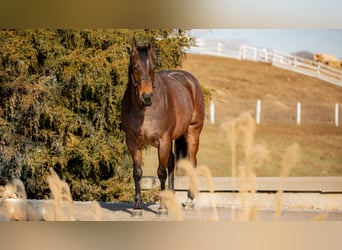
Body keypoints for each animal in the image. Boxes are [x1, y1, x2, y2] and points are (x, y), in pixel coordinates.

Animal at [121, 37, 204, 217]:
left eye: (153, 67)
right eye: (136, 67)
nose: (146, 97)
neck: (144, 111)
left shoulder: (163, 140)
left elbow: (161, 172)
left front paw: (162, 208)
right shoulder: (132, 142)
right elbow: (137, 172)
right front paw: (137, 207)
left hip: (192, 133)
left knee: (191, 163)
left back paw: (189, 201)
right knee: (172, 161)